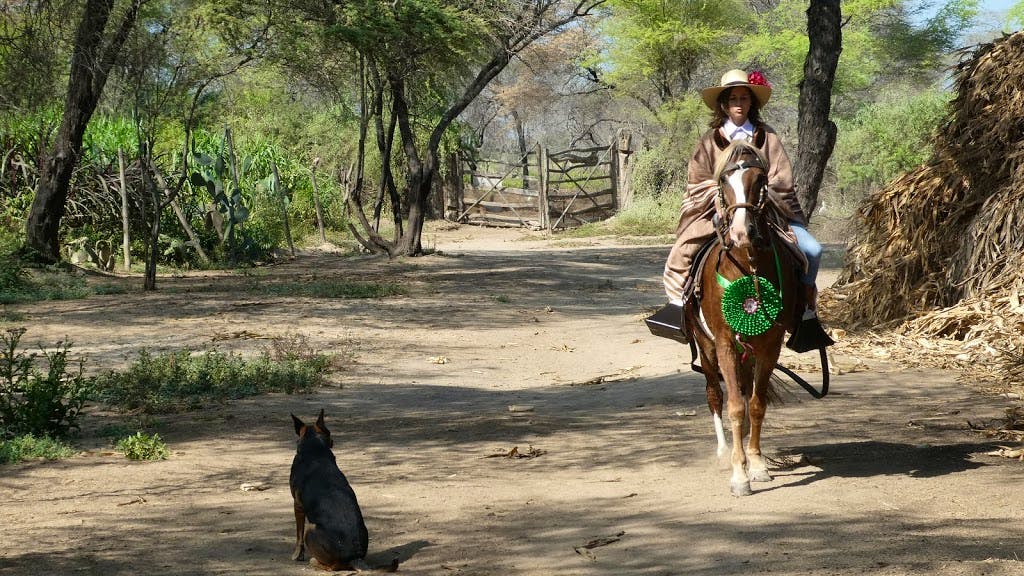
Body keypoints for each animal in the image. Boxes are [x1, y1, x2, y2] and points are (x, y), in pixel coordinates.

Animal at [684, 140, 801, 497]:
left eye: (759, 179)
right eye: (723, 181)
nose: (741, 232)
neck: (747, 269)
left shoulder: (769, 345)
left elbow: (756, 404)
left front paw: (758, 464)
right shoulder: (724, 344)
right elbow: (735, 406)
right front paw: (739, 474)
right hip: (707, 350)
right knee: (714, 394)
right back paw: (724, 452)